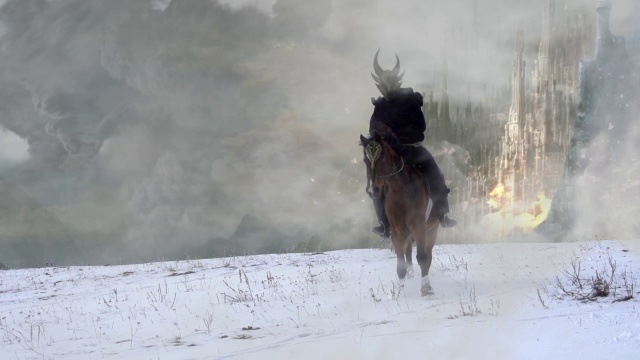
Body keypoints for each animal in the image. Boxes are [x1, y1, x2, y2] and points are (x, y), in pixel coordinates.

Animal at [360, 130, 440, 296]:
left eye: (382, 157)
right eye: (365, 160)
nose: (372, 190)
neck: (402, 191)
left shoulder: (420, 228)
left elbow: (422, 257)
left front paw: (425, 288)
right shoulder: (397, 231)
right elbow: (400, 264)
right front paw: (399, 292)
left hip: (432, 230)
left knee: (427, 255)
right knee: (408, 253)